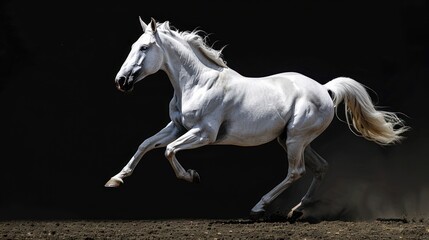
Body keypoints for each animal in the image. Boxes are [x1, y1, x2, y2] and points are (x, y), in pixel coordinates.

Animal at [106, 17, 408, 221]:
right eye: (134, 45)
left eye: (144, 48)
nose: (121, 81)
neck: (198, 83)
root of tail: (324, 89)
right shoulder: (177, 127)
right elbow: (146, 144)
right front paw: (116, 180)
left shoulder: (204, 133)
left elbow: (168, 151)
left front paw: (192, 176)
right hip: (291, 140)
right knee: (320, 167)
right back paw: (295, 211)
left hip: (295, 139)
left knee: (296, 171)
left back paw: (259, 207)